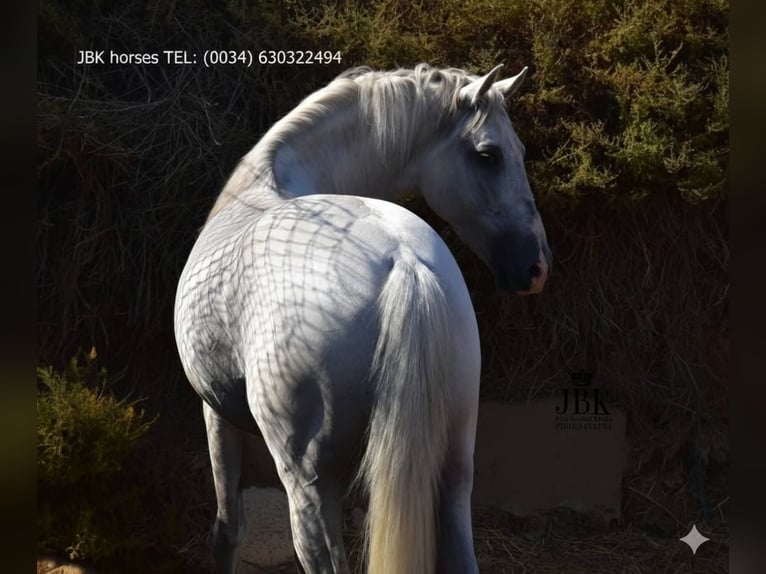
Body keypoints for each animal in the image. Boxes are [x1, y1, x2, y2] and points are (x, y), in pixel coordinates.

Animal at [174, 63, 551, 574]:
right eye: (489, 155)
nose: (536, 268)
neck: (265, 184)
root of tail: (403, 262)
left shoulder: (214, 411)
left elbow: (227, 530)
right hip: (454, 469)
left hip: (307, 486)